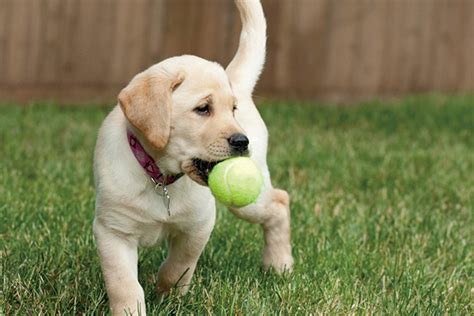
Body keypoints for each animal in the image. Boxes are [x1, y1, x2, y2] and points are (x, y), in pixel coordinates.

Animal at [93, 0, 292, 314]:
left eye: (232, 109)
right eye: (203, 108)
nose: (242, 141)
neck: (160, 177)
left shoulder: (198, 225)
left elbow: (179, 266)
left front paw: (168, 294)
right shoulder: (113, 231)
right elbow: (123, 284)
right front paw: (132, 308)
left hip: (249, 202)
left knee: (280, 202)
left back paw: (279, 264)